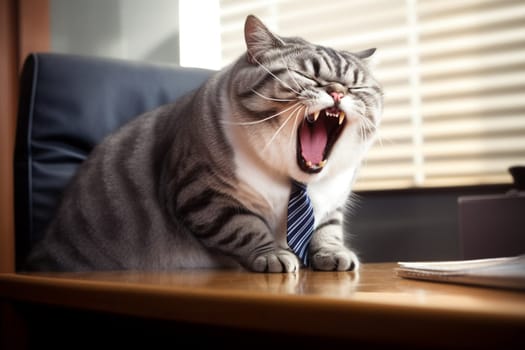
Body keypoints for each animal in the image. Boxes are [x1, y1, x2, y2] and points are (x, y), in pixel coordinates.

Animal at [24, 15, 382, 272]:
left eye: (357, 87)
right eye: (309, 77)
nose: (338, 91)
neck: (296, 180)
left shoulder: (332, 201)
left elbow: (326, 228)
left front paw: (334, 254)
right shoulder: (202, 194)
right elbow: (245, 227)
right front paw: (273, 255)